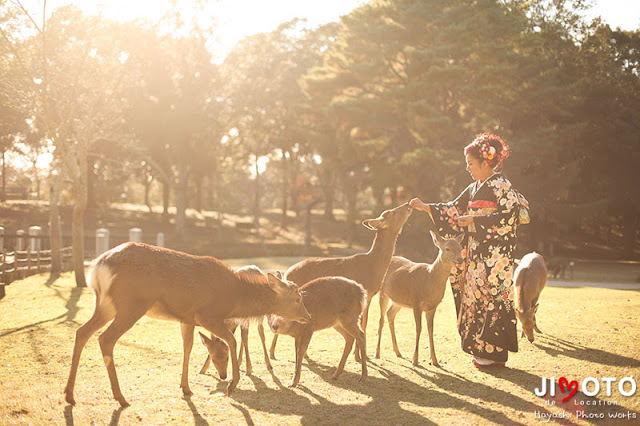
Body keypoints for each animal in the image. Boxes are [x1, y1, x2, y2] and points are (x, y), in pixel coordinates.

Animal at [63, 243, 312, 406]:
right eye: (297, 298)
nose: (308, 316)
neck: (233, 297)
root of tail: (97, 268)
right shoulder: (206, 314)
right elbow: (230, 340)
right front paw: (231, 386)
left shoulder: (187, 318)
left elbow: (188, 347)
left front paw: (186, 387)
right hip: (131, 305)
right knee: (105, 339)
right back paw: (121, 398)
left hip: (105, 305)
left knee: (81, 331)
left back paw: (69, 394)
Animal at [268, 203, 412, 360]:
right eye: (393, 212)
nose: (408, 204)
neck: (374, 266)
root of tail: (287, 272)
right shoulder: (366, 294)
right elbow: (363, 323)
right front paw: (359, 356)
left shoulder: (369, 296)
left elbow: (364, 323)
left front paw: (359, 354)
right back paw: (273, 353)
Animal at [372, 231, 462, 368]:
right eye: (448, 248)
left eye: (460, 248)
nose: (460, 259)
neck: (429, 279)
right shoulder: (416, 302)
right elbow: (418, 328)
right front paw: (415, 360)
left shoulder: (433, 306)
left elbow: (431, 330)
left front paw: (435, 360)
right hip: (383, 293)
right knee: (381, 319)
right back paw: (377, 353)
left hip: (398, 300)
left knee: (390, 314)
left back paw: (397, 351)